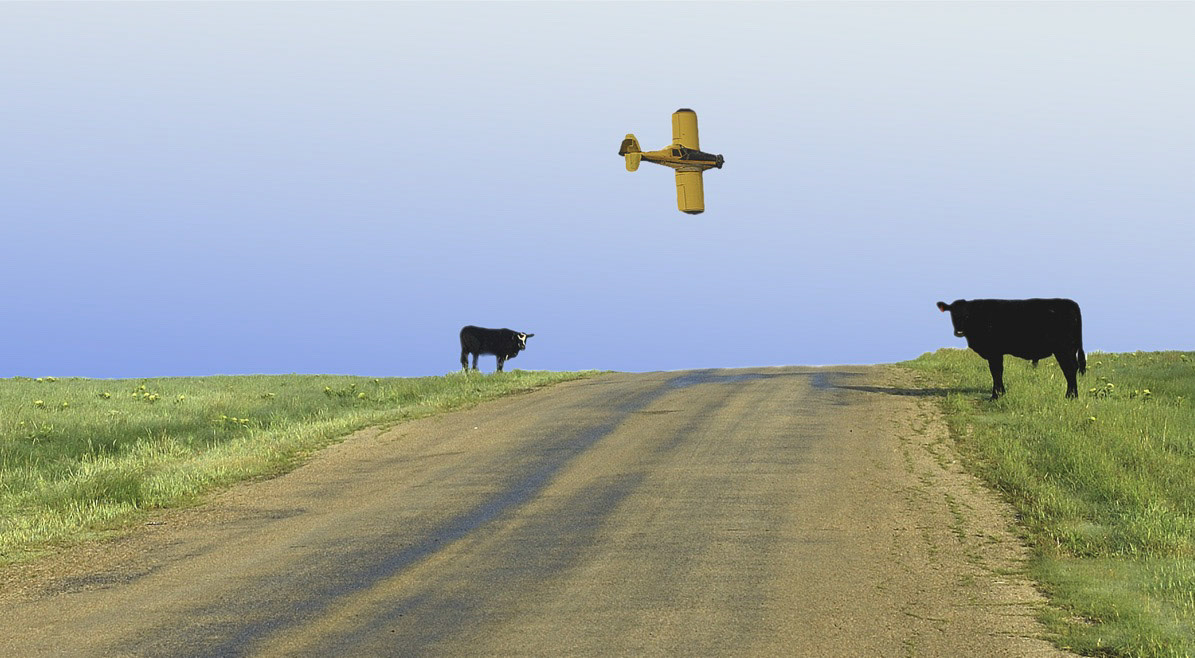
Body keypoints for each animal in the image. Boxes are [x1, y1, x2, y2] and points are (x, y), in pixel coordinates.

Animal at [936, 298, 1086, 399]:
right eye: (952, 314)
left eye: (967, 315)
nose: (959, 332)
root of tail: (1071, 303)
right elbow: (998, 372)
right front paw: (1001, 393)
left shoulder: (993, 352)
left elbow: (996, 372)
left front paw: (995, 396)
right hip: (1071, 348)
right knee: (1074, 367)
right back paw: (1073, 395)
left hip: (1064, 349)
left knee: (1069, 369)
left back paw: (1070, 396)